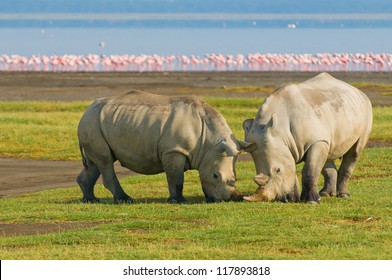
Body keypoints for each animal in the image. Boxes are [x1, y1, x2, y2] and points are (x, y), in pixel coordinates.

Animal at [76, 91, 245, 203]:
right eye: (215, 176)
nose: (232, 198)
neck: (209, 142)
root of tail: (86, 111)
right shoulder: (174, 150)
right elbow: (176, 177)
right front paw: (178, 201)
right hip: (92, 122)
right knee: (105, 160)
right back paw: (125, 200)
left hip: (96, 123)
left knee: (95, 162)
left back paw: (91, 200)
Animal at [243, 72, 372, 203]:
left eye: (278, 170)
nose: (282, 199)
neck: (280, 130)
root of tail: (357, 90)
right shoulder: (287, 145)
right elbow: (293, 168)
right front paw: (293, 199)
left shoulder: (316, 141)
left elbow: (310, 169)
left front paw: (311, 201)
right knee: (328, 153)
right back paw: (325, 194)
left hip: (366, 109)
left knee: (354, 152)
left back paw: (343, 195)